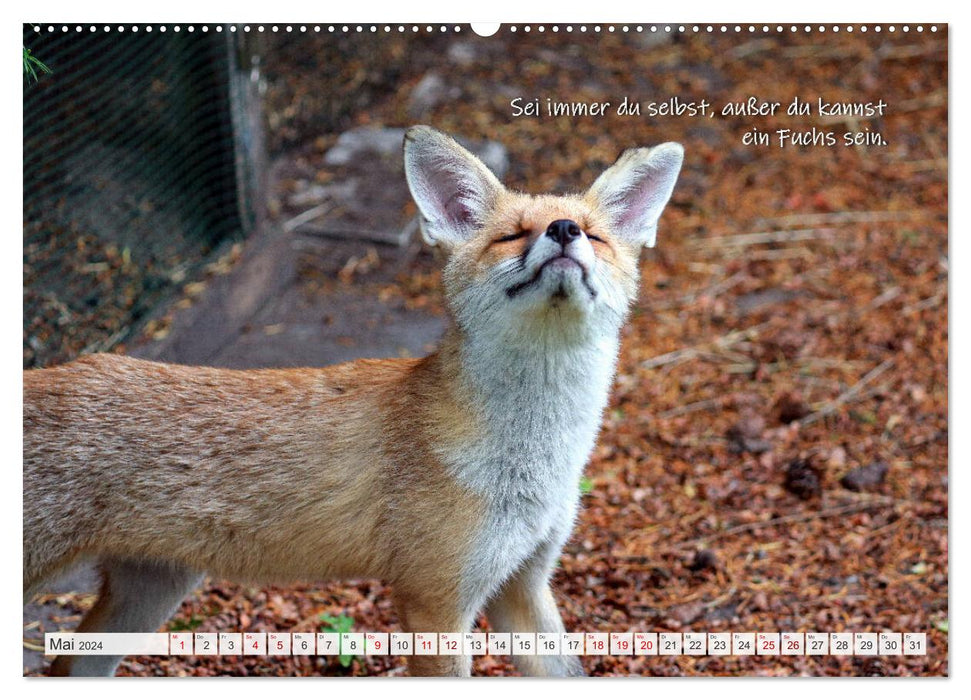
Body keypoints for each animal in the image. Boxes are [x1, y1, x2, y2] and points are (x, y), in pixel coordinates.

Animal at [20, 123, 684, 676]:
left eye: (593, 234)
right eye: (512, 235)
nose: (564, 231)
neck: (533, 458)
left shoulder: (522, 583)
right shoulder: (435, 602)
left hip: (149, 594)